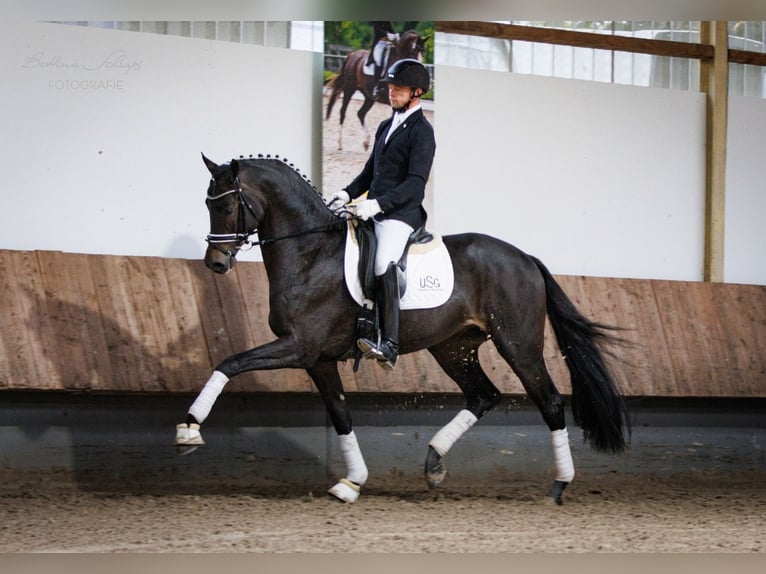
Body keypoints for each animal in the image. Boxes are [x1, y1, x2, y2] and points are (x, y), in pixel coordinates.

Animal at [177, 155, 632, 506]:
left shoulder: (299, 347)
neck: (310, 253)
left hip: (518, 344)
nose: (215, 263)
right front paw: (351, 483)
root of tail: (526, 259)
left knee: (550, 403)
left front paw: (190, 428)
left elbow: (230, 362)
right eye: (207, 204)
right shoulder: (318, 360)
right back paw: (434, 463)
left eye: (226, 207)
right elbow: (340, 416)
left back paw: (558, 486)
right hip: (453, 347)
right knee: (483, 395)